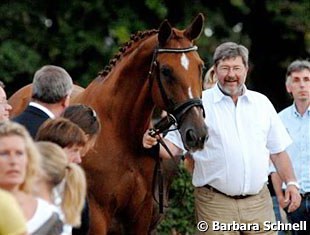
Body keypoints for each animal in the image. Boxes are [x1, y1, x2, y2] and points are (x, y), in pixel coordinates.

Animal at [9, 13, 208, 234]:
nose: (197, 134)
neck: (122, 133)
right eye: (166, 71)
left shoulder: (140, 215)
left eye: (201, 67)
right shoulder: (97, 215)